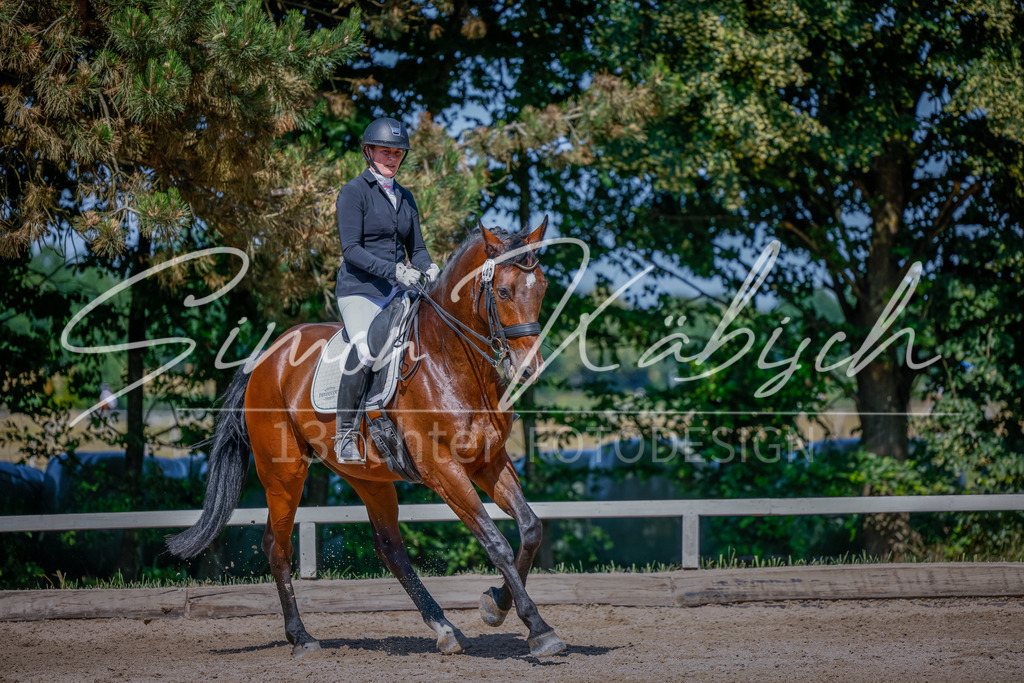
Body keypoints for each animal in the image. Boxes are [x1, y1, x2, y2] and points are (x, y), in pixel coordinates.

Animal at [167, 218, 566, 658]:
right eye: (504, 292)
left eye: (542, 287)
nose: (529, 369)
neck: (450, 361)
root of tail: (267, 356)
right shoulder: (443, 469)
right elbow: (496, 543)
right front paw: (538, 628)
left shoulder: (488, 461)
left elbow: (530, 528)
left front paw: (496, 605)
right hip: (283, 472)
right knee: (277, 545)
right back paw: (302, 637)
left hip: (367, 477)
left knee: (389, 547)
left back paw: (445, 629)